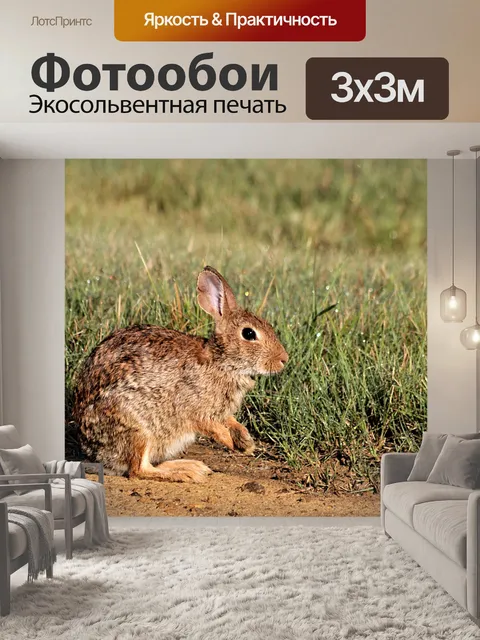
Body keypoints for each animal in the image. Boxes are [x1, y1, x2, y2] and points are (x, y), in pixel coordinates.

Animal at [72, 266, 288, 483]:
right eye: (249, 334)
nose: (284, 359)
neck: (222, 361)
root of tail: (97, 454)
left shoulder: (220, 412)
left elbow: (229, 421)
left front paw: (246, 441)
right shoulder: (194, 408)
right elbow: (211, 427)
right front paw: (232, 442)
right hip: (136, 428)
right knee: (138, 470)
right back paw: (187, 472)